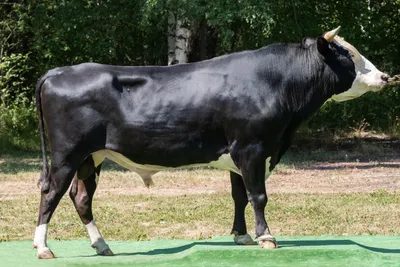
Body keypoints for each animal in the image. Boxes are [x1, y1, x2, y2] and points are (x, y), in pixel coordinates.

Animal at [33, 34, 360, 258]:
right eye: (350, 56)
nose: (376, 73)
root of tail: (58, 72)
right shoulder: (252, 148)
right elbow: (258, 196)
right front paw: (266, 237)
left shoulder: (237, 154)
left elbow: (238, 196)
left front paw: (241, 236)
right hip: (67, 154)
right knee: (51, 192)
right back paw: (43, 247)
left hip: (92, 156)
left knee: (81, 197)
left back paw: (101, 245)